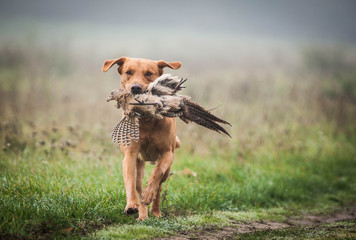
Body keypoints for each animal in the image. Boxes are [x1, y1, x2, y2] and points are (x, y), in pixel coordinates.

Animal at [102, 57, 181, 220]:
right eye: (128, 72)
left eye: (149, 73)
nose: (136, 88)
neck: (147, 120)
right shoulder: (130, 155)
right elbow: (130, 183)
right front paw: (131, 205)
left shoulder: (168, 153)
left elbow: (157, 172)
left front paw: (149, 192)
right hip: (139, 165)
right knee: (138, 187)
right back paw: (142, 214)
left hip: (167, 169)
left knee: (160, 184)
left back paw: (155, 210)